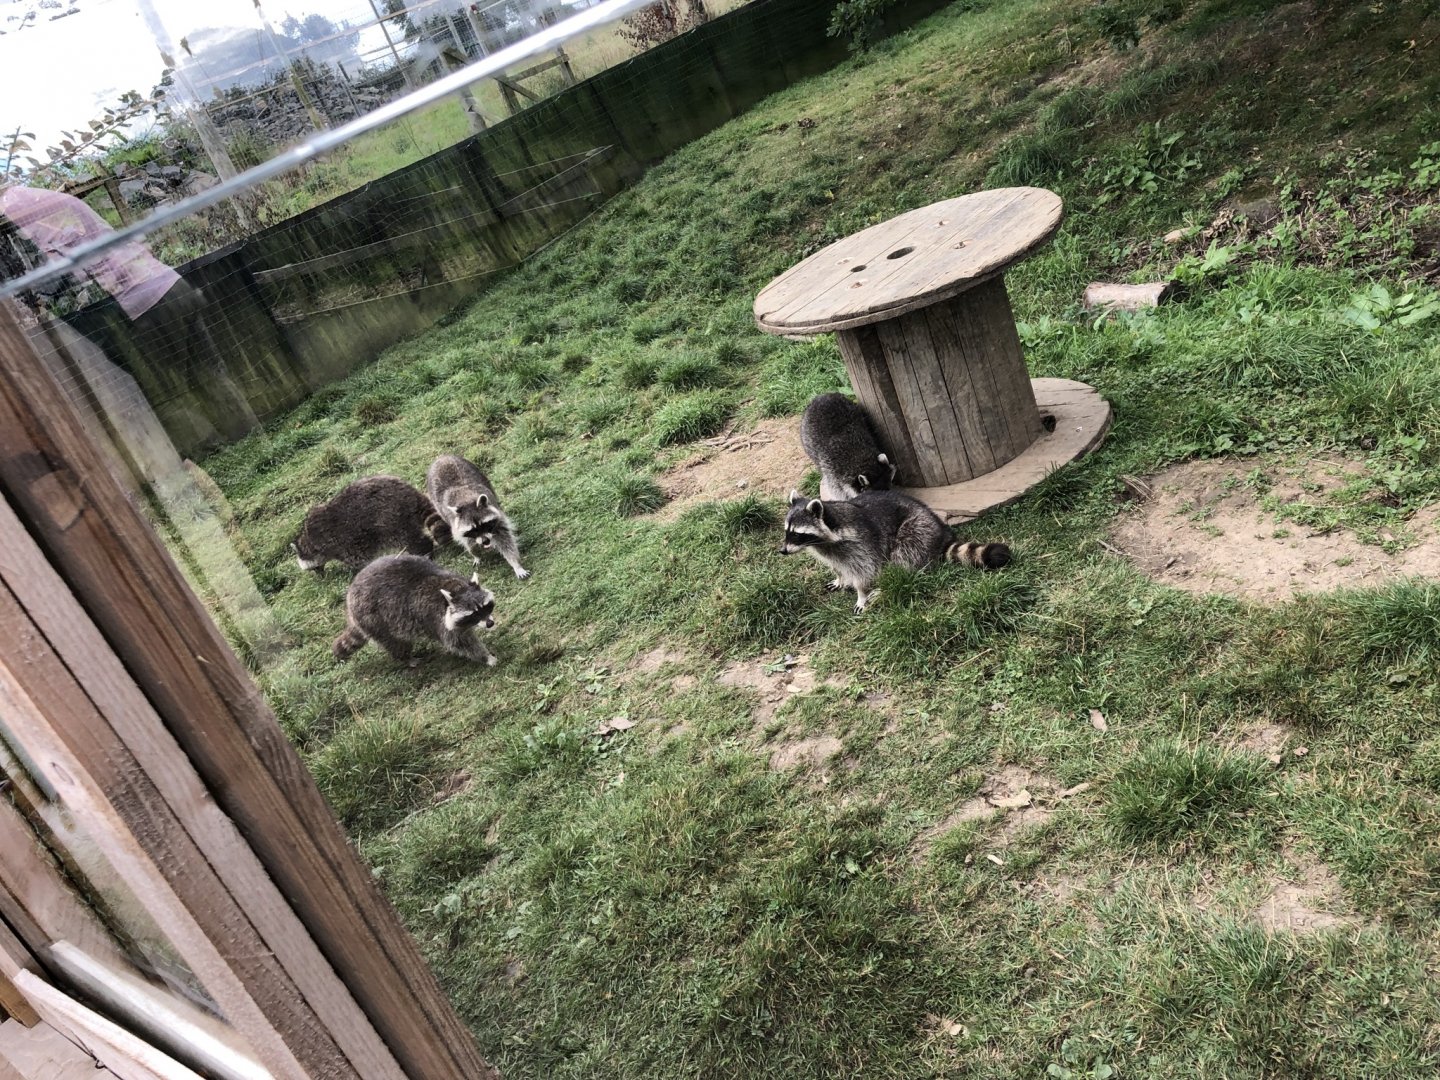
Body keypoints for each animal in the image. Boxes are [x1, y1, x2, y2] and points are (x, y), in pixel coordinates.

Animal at [292, 476, 449, 574]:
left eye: (313, 569)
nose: (320, 577)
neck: (309, 541)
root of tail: (410, 494)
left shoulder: (341, 542)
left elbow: (358, 559)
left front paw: (358, 570)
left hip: (391, 519)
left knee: (408, 539)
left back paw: (424, 550)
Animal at [332, 554, 497, 667]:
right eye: (474, 614)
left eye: (485, 607)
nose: (490, 624)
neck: (455, 587)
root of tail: (350, 598)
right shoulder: (437, 618)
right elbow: (460, 642)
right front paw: (486, 657)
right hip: (374, 619)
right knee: (396, 643)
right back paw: (406, 658)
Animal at [779, 489, 1010, 612]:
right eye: (786, 531)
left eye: (798, 534)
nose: (782, 551)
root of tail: (941, 533)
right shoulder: (831, 551)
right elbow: (838, 567)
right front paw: (841, 578)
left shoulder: (862, 546)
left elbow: (866, 572)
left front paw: (862, 594)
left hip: (916, 530)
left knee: (903, 557)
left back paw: (889, 584)